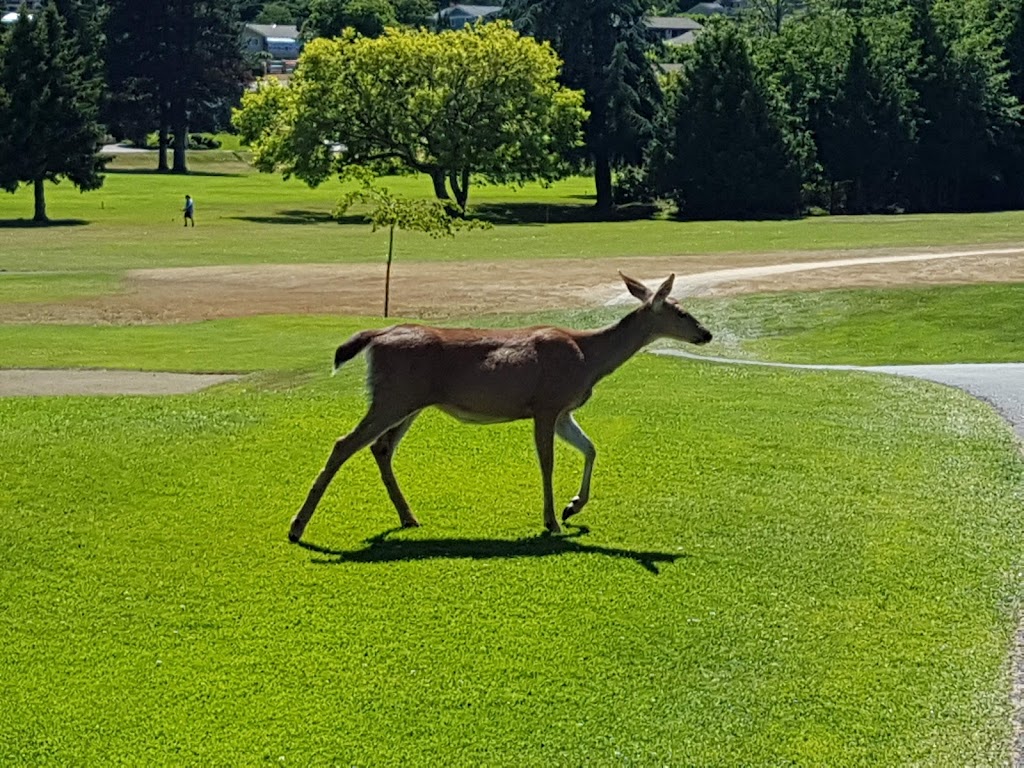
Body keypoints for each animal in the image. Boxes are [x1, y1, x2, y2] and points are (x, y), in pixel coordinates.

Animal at [288, 274, 712, 544]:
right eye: (679, 311)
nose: (706, 333)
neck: (588, 358)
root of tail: (377, 336)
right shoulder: (546, 403)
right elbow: (547, 463)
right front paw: (552, 521)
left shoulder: (563, 411)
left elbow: (591, 448)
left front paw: (573, 508)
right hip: (393, 396)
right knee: (345, 443)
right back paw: (297, 527)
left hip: (407, 401)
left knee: (380, 448)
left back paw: (408, 517)